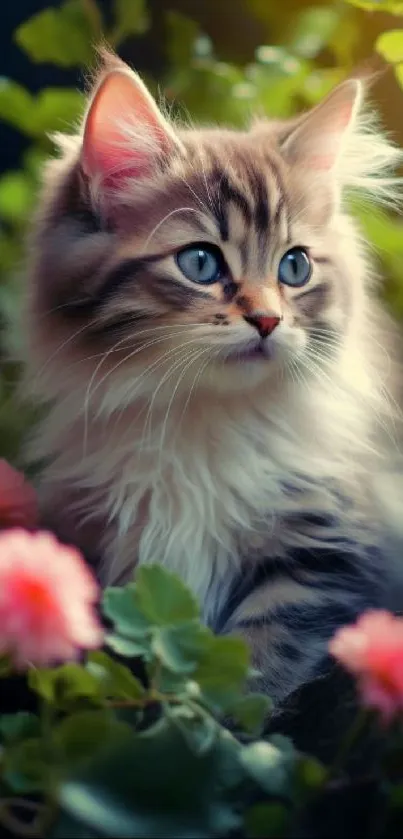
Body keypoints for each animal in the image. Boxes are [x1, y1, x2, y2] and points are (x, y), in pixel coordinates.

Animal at [23, 49, 403, 724]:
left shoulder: (322, 557)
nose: (268, 320)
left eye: (294, 267)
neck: (202, 420)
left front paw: (213, 728)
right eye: (200, 263)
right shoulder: (103, 548)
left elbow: (250, 673)